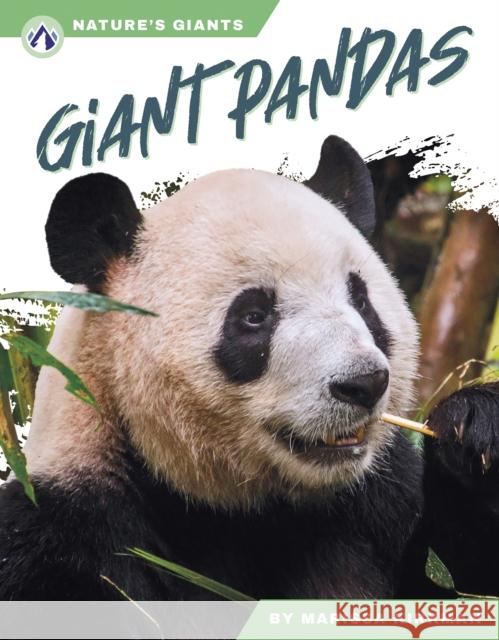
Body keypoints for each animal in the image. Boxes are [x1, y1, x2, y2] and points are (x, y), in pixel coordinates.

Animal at [0, 135, 498, 600]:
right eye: (254, 316)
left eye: (360, 300)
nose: (363, 384)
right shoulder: (65, 531)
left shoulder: (382, 503)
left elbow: (462, 579)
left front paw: (473, 426)